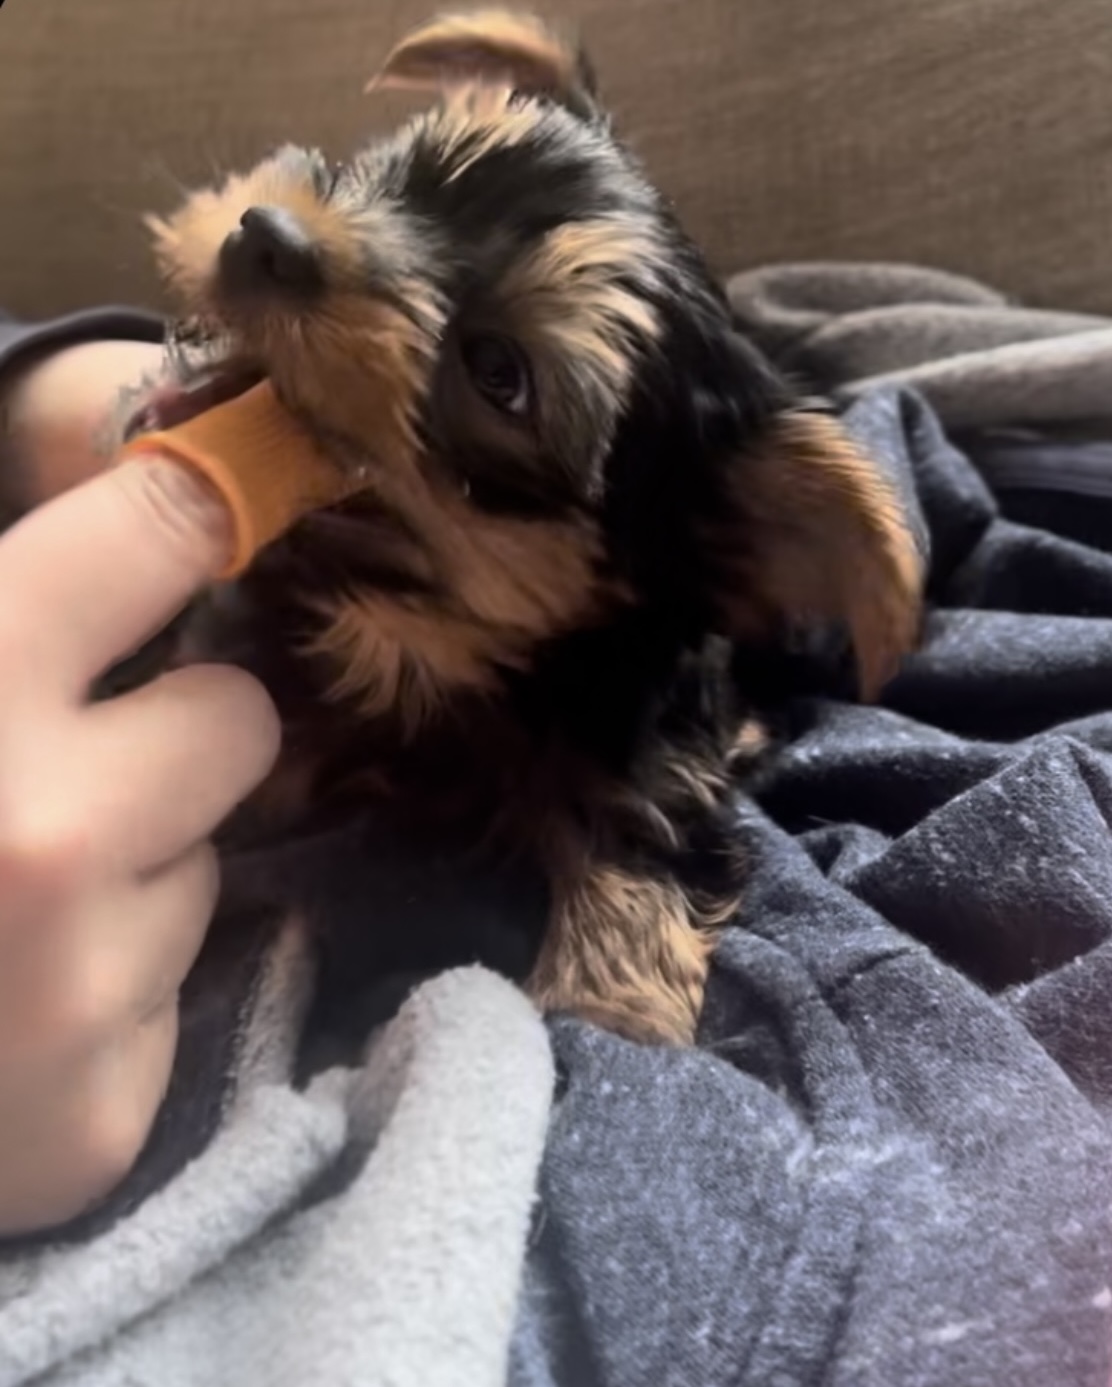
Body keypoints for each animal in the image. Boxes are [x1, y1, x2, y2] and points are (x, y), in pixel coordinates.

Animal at [123, 8, 920, 1043]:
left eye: (499, 372)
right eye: (391, 175)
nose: (265, 235)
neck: (421, 642)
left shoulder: (647, 742)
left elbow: (638, 856)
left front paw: (605, 1003)